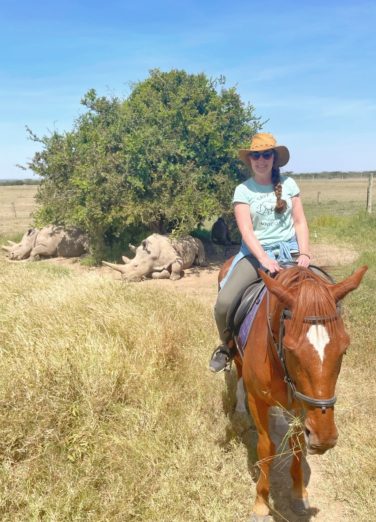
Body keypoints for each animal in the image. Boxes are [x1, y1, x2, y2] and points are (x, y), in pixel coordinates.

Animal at [217, 262, 368, 516]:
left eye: (344, 348)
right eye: (290, 348)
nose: (324, 439)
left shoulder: (301, 403)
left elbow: (297, 445)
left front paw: (299, 494)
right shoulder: (258, 400)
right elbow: (266, 447)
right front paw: (261, 502)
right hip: (235, 351)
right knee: (237, 370)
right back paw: (239, 408)